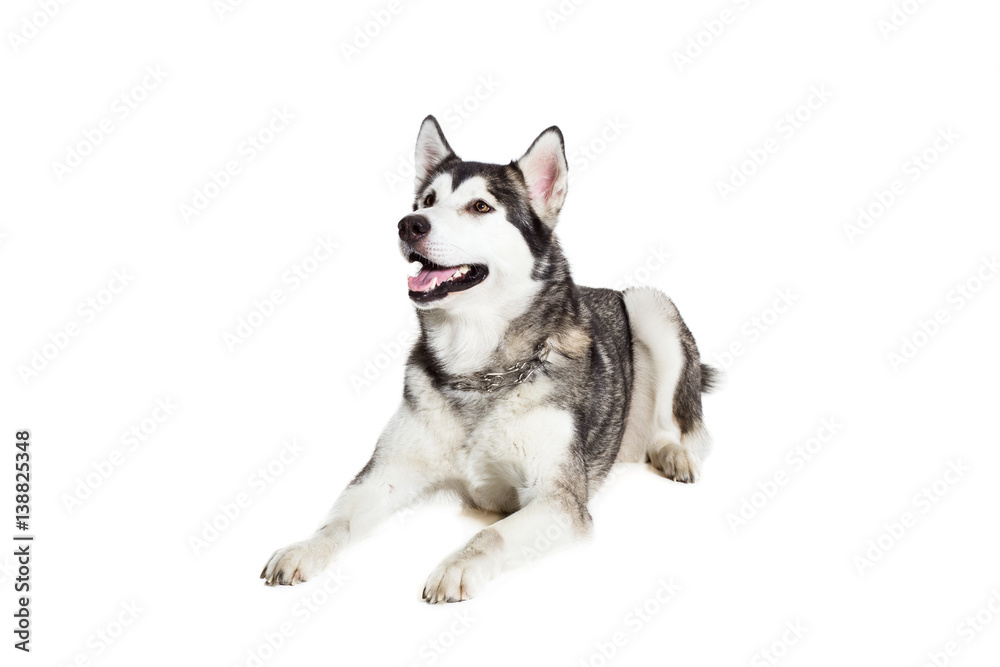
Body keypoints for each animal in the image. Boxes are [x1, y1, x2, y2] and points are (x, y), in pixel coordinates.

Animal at [262, 116, 716, 604]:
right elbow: (338, 521)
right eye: (428, 201)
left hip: (649, 305)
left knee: (676, 425)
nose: (408, 224)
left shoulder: (557, 501)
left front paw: (456, 566)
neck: (479, 369)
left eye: (480, 206)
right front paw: (304, 547)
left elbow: (489, 534)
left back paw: (673, 454)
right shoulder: (386, 473)